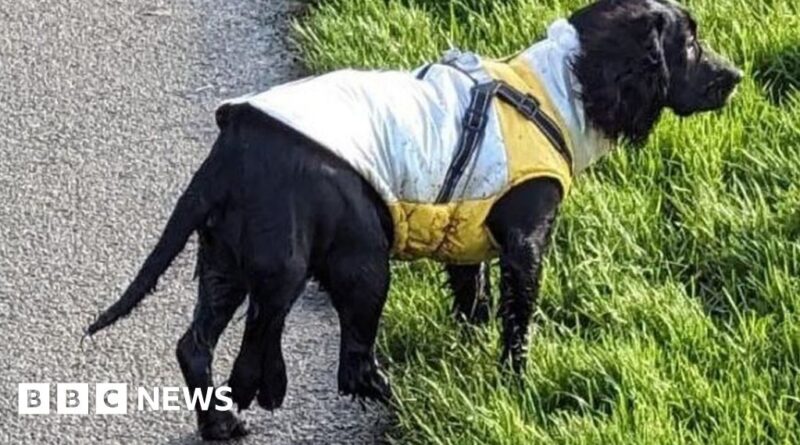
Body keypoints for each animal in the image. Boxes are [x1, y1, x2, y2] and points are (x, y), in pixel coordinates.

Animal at [84, 0, 740, 438]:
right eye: (688, 44)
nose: (735, 77)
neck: (558, 91)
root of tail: (232, 149)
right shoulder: (526, 244)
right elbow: (516, 325)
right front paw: (514, 384)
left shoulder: (470, 243)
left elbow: (472, 304)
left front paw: (467, 355)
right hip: (341, 261)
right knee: (315, 362)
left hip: (226, 261)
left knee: (196, 345)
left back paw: (223, 425)